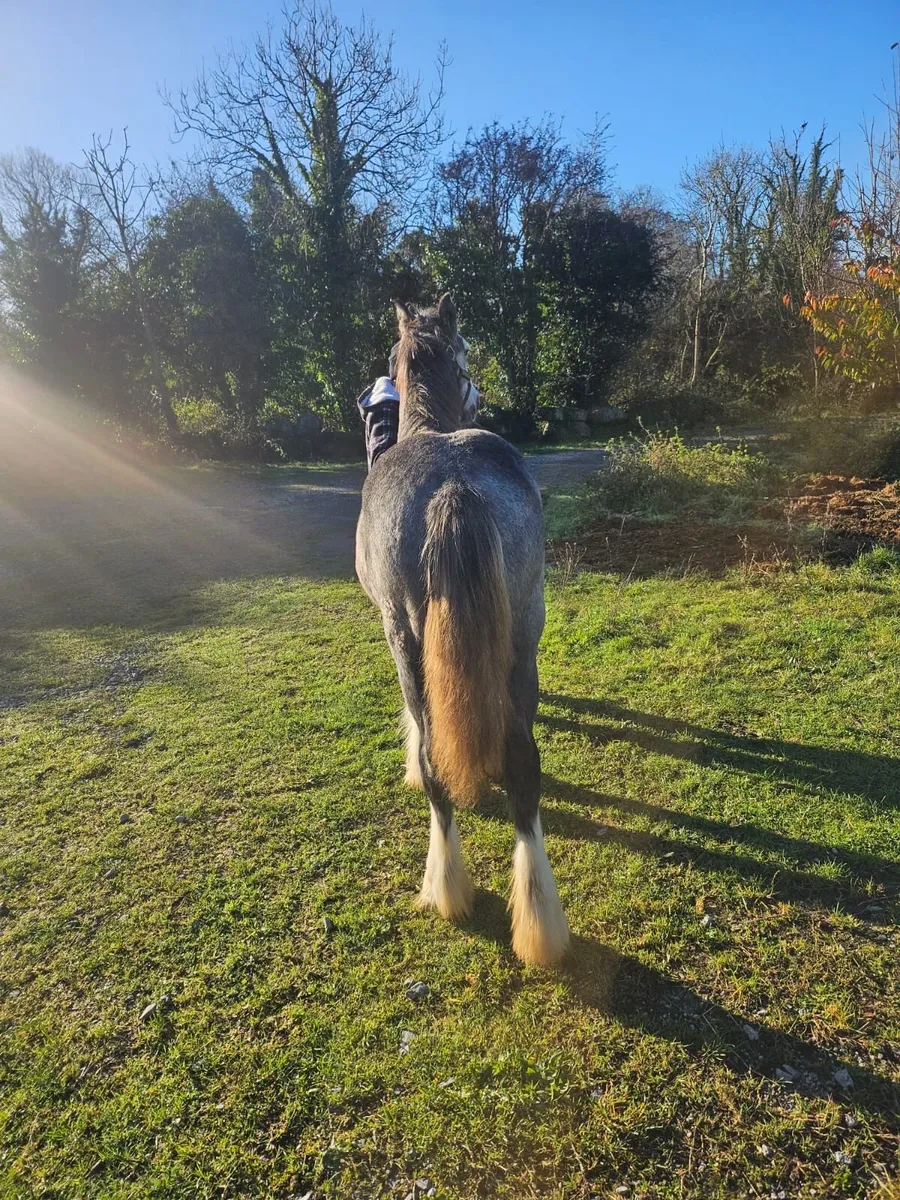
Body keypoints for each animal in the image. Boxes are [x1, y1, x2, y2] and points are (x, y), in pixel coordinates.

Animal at [355, 294, 569, 966]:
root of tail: (452, 484)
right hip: (526, 622)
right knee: (523, 764)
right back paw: (540, 919)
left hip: (405, 635)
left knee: (433, 761)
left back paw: (446, 885)